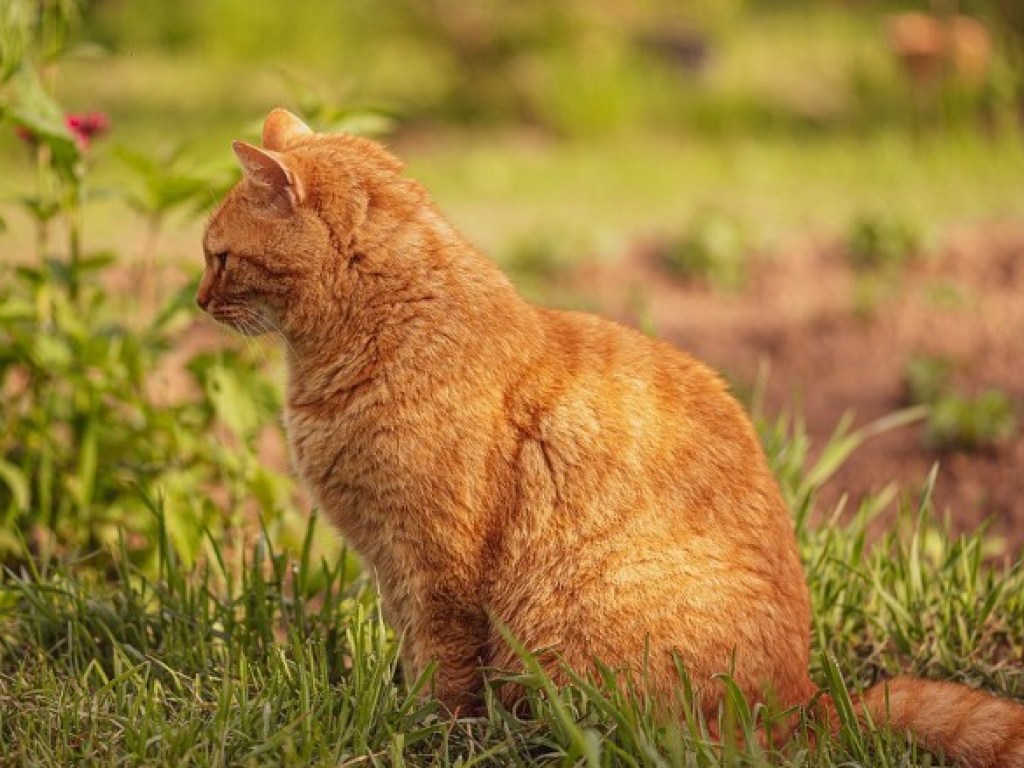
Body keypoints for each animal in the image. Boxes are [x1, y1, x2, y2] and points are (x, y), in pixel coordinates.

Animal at [199, 109, 1024, 768]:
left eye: (218, 256)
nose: (200, 300)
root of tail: (809, 704)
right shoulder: (391, 564)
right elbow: (415, 655)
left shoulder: (436, 567)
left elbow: (446, 674)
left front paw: (432, 739)